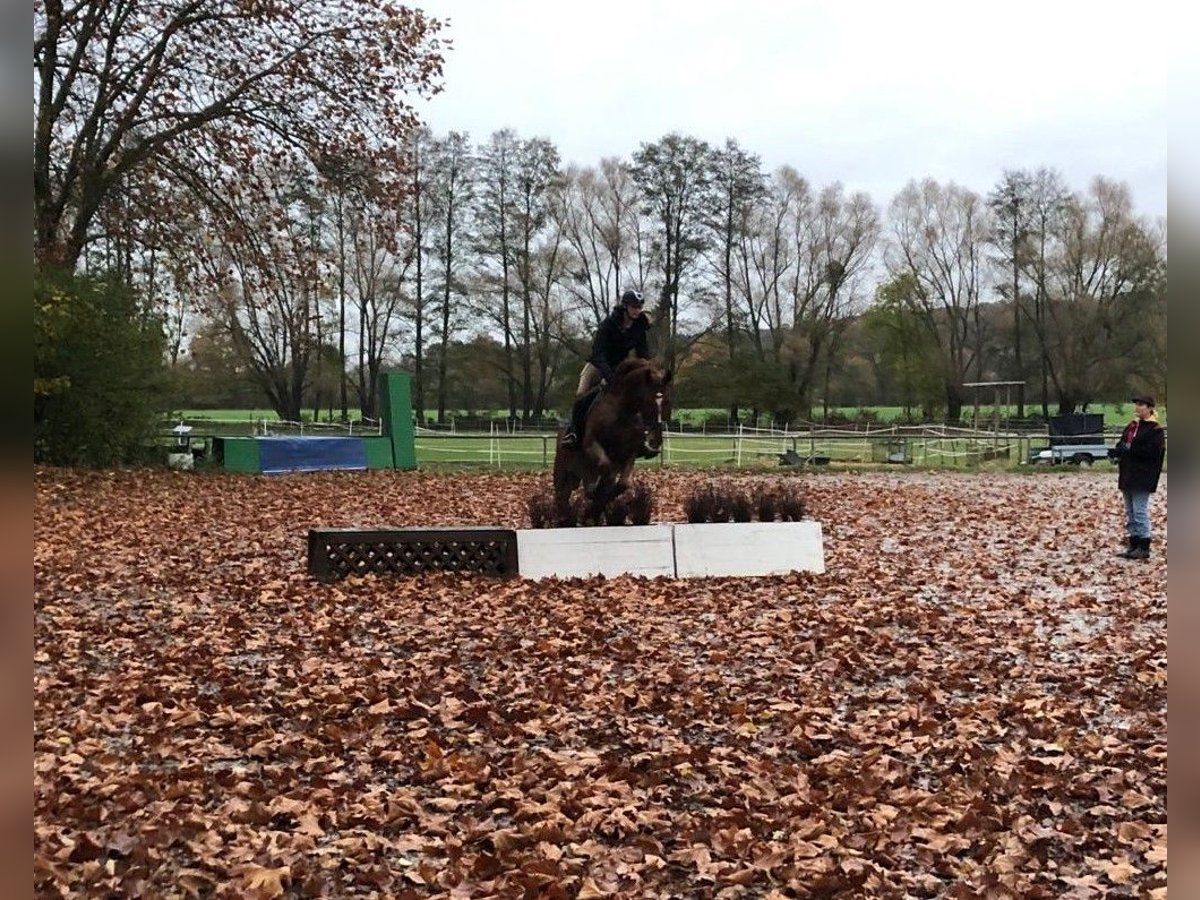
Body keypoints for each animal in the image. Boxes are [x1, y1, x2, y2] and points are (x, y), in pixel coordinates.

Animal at [552, 358, 673, 525]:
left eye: (668, 401)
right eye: (648, 401)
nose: (655, 441)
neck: (622, 409)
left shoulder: (630, 452)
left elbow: (622, 484)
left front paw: (596, 504)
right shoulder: (592, 445)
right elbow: (605, 468)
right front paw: (594, 495)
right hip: (562, 470)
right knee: (562, 495)